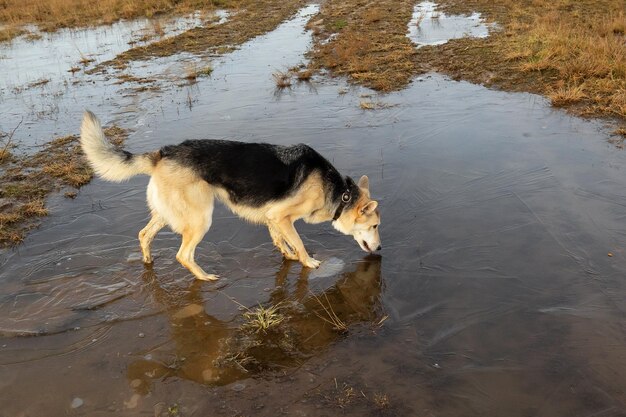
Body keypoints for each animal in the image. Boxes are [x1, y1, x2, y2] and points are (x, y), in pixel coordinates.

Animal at [79, 110, 380, 280]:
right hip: (200, 219)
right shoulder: (282, 217)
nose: (379, 250)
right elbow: (299, 242)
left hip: (168, 214)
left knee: (144, 235)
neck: (340, 193)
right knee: (183, 255)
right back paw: (204, 278)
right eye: (375, 226)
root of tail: (163, 153)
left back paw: (148, 262)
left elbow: (281, 241)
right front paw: (307, 261)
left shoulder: (272, 218)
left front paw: (289, 256)